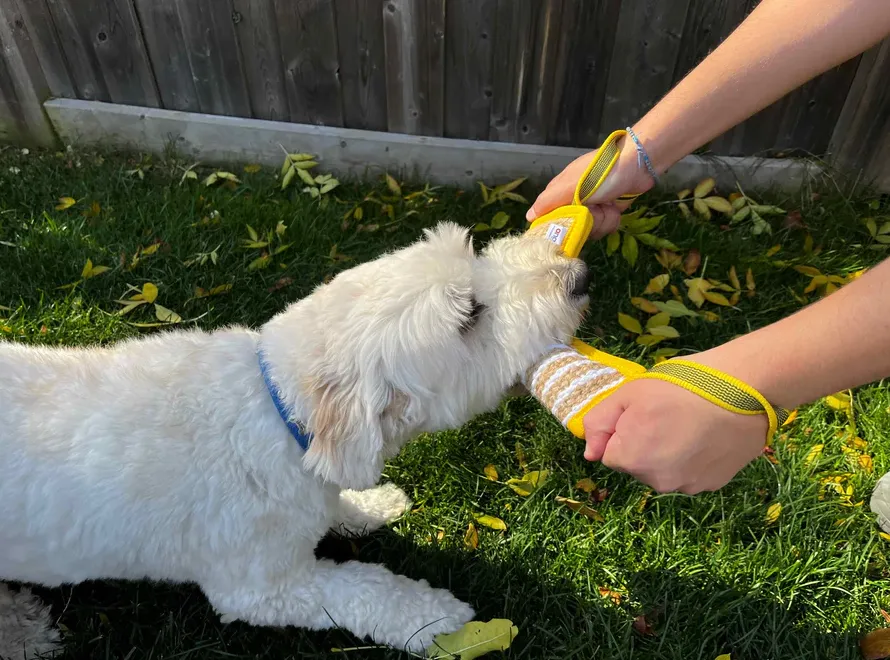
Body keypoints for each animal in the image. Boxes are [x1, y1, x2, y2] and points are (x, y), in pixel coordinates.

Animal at [0, 224, 588, 656]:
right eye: (469, 314)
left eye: (476, 256)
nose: (578, 275)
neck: (282, 411)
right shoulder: (261, 586)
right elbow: (363, 589)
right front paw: (432, 617)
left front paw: (370, 505)